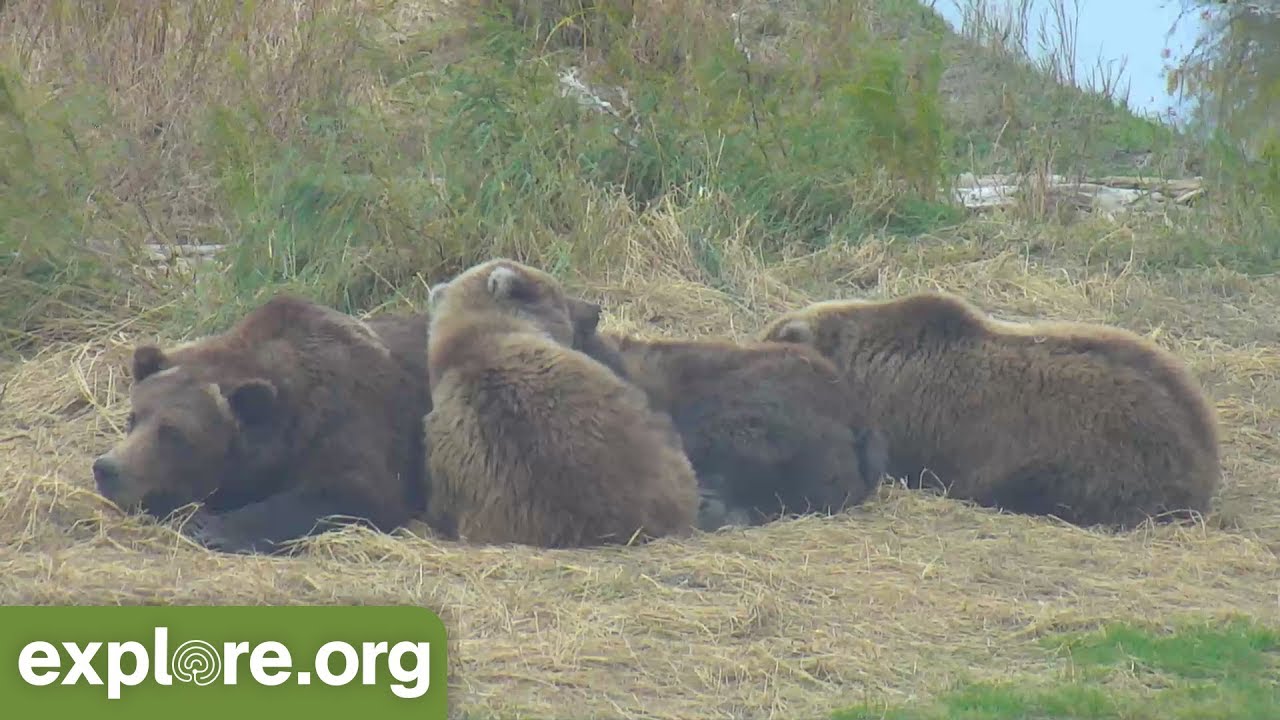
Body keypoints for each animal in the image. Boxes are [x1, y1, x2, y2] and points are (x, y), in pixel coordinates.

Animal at [90, 294, 431, 554]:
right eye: (133, 418)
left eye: (172, 431)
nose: (107, 468)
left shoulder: (357, 420)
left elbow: (354, 492)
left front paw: (211, 529)